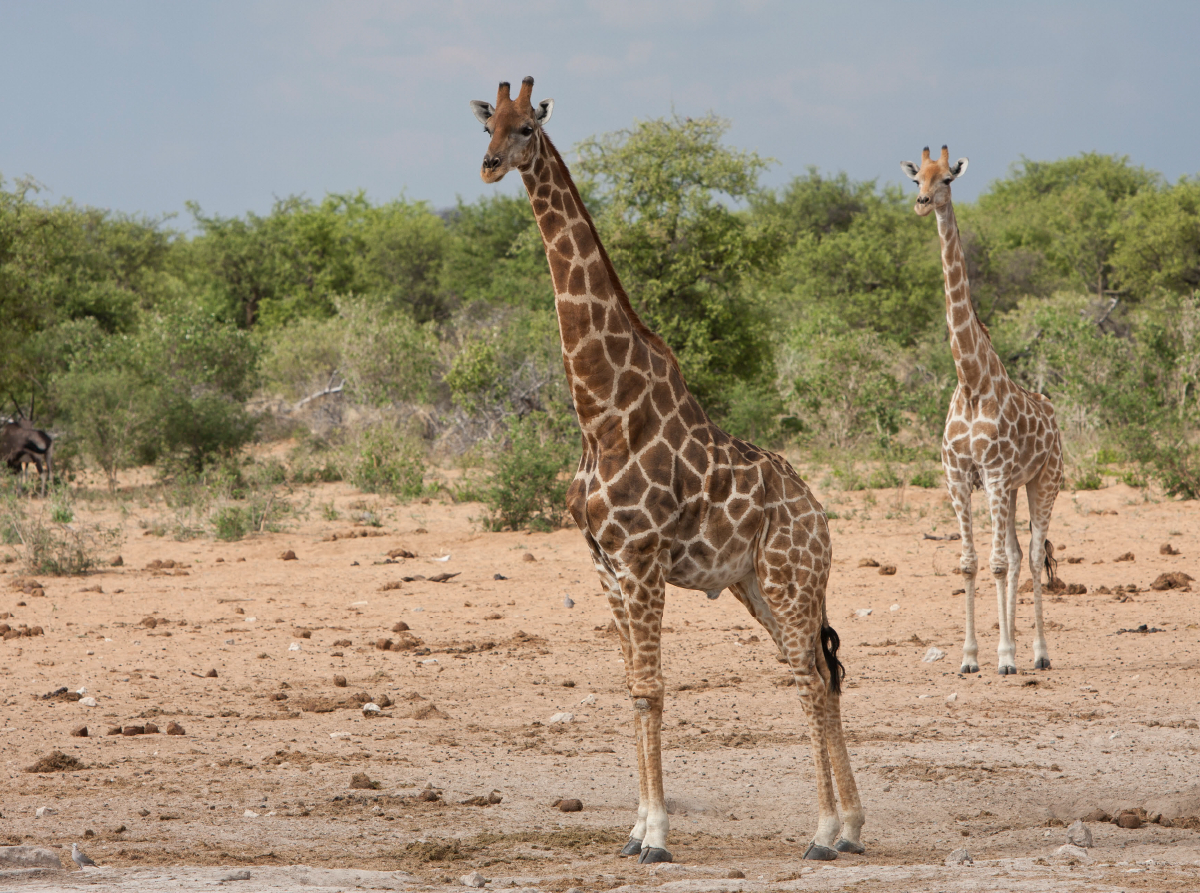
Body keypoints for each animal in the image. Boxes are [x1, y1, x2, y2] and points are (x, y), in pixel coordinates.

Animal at [472, 78, 868, 864]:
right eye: (486, 124)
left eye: (528, 126)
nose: (490, 164)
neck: (602, 411)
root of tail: (819, 515)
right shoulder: (603, 562)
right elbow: (632, 686)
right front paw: (633, 830)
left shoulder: (641, 557)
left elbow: (653, 688)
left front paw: (656, 835)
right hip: (758, 585)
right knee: (819, 673)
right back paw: (849, 827)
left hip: (790, 577)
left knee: (810, 678)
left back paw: (822, 833)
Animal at [902, 146, 1065, 676]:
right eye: (918, 177)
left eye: (949, 179)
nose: (922, 203)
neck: (971, 381)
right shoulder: (959, 476)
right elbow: (971, 563)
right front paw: (971, 657)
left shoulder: (992, 475)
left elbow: (995, 563)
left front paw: (1005, 657)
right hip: (1012, 488)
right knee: (1013, 554)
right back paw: (1010, 648)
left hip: (1043, 482)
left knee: (1029, 556)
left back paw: (1035, 653)